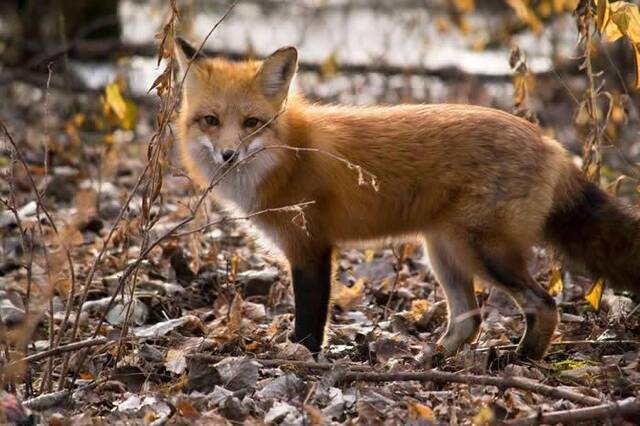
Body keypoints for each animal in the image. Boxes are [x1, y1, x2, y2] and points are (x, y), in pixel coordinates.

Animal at [174, 38, 640, 362]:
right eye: (211, 121)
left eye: (251, 123)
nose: (228, 154)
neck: (289, 156)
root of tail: (550, 143)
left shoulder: (310, 248)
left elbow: (309, 323)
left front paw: (301, 360)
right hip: (444, 251)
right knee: (469, 319)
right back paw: (432, 360)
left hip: (482, 251)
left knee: (543, 305)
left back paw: (517, 361)